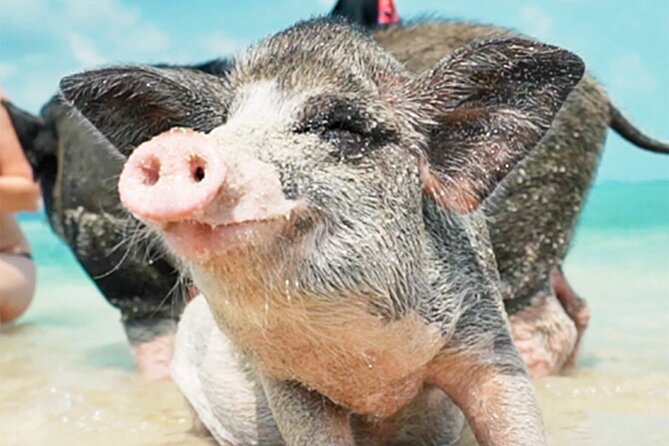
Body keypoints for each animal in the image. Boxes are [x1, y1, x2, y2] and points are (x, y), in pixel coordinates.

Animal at [60, 18, 588, 445]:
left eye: (341, 127)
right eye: (217, 127)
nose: (173, 148)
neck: (372, 374)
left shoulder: (485, 333)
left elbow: (513, 412)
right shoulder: (285, 381)